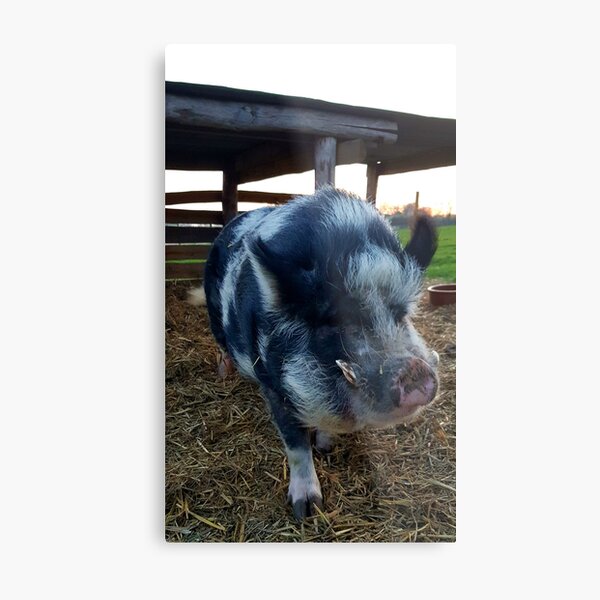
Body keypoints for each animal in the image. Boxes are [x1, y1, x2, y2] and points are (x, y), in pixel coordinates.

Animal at [199, 188, 438, 520]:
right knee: (222, 345)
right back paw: (224, 373)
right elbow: (296, 445)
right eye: (331, 322)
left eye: (400, 313)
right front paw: (307, 510)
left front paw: (325, 447)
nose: (414, 369)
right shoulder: (273, 383)